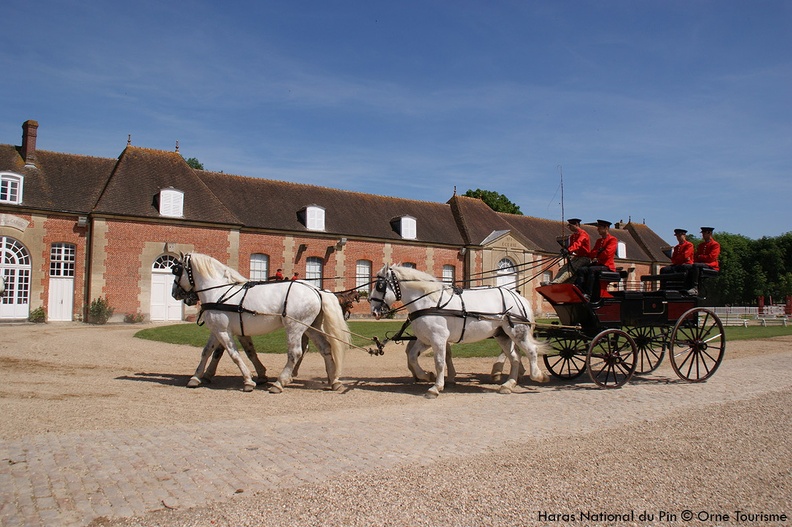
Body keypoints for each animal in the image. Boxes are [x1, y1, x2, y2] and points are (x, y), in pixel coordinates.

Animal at [172, 254, 348, 394]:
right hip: (311, 327)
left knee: (296, 353)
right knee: (325, 348)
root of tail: (317, 290)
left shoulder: (223, 331)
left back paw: (279, 383)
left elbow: (234, 354)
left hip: (295, 328)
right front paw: (196, 377)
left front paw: (248, 380)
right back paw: (334, 380)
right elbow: (208, 352)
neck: (219, 292)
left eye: (176, 270)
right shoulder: (219, 330)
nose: (174, 293)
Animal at [368, 266, 548, 398]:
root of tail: (519, 298)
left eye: (379, 286)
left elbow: (440, 362)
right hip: (502, 335)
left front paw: (436, 387)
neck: (428, 301)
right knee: (515, 358)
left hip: (517, 332)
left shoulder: (438, 339)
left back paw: (538, 376)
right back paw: (508, 384)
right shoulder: (426, 339)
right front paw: (426, 375)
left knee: (531, 351)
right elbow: (412, 356)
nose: (374, 311)